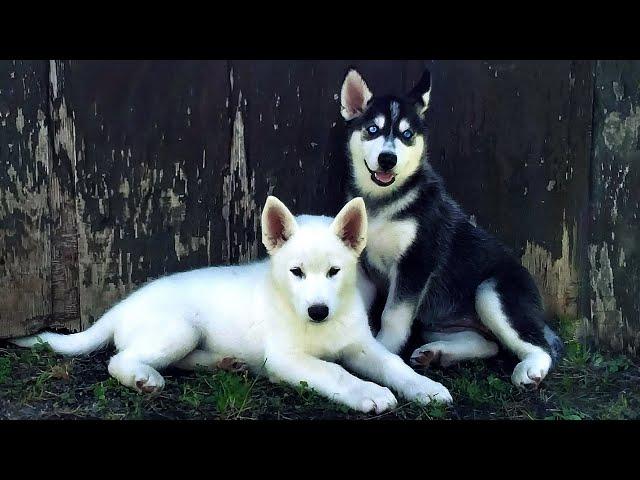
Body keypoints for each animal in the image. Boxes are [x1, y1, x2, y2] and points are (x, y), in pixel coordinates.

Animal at [12, 197, 452, 414]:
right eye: (295, 272)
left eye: (334, 271)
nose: (318, 311)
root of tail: (121, 306)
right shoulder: (287, 358)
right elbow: (334, 372)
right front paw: (368, 393)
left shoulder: (362, 345)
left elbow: (393, 363)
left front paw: (425, 387)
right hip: (179, 328)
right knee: (120, 359)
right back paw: (143, 378)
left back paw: (225, 363)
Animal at [338, 68, 564, 390]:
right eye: (372, 129)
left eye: (407, 135)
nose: (387, 159)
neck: (383, 202)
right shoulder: (364, 264)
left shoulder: (417, 261)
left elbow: (393, 315)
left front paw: (383, 350)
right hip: (436, 319)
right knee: (488, 344)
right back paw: (436, 353)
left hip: (491, 292)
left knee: (539, 345)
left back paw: (531, 369)